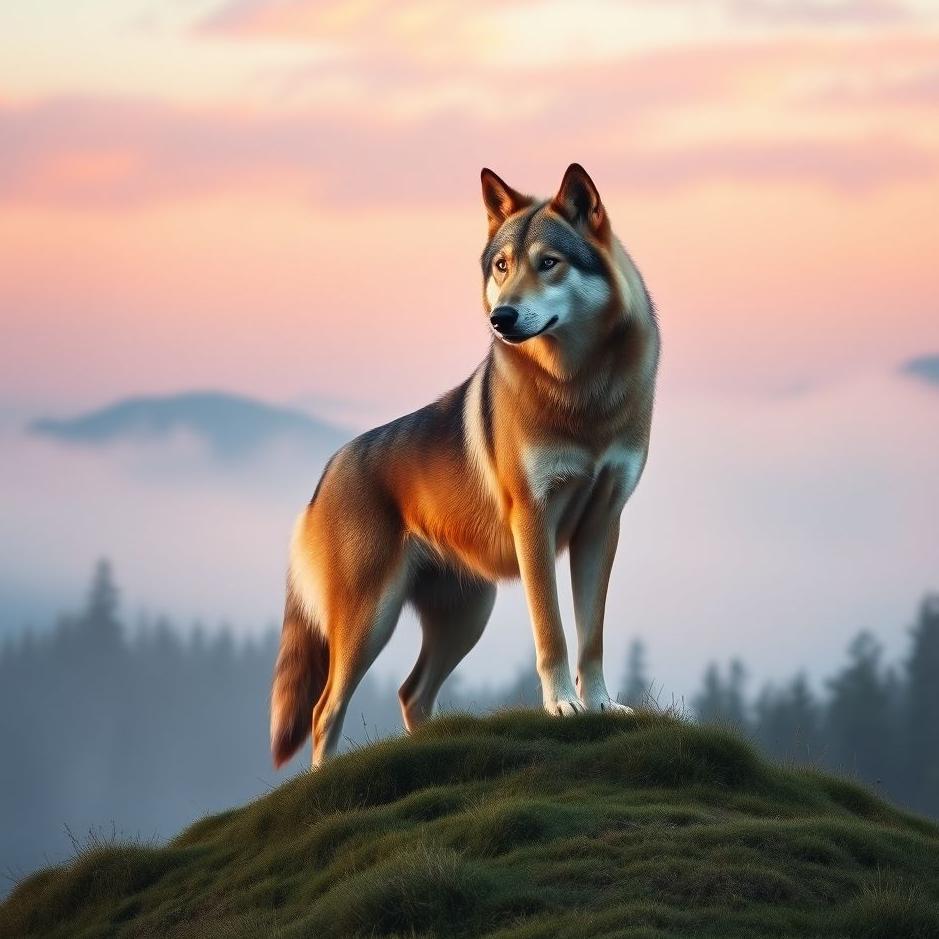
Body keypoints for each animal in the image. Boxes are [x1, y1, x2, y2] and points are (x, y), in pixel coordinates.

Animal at [271, 164, 660, 768]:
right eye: (502, 266)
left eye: (549, 262)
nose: (502, 317)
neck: (580, 393)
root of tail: (326, 472)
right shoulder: (533, 520)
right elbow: (552, 631)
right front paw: (563, 706)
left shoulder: (603, 524)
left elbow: (590, 634)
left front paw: (598, 705)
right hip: (370, 622)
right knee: (324, 710)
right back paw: (319, 779)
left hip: (465, 618)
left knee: (410, 693)